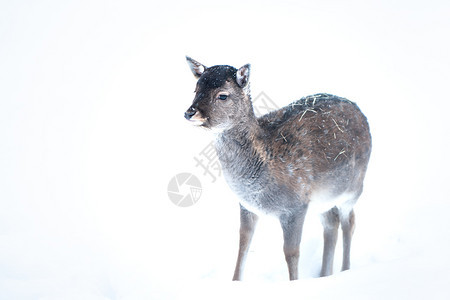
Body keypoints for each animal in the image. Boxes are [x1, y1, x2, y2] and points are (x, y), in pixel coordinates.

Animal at [185, 56, 370, 282]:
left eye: (222, 95)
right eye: (196, 89)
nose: (190, 112)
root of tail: (360, 111)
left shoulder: (295, 206)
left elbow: (291, 252)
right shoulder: (246, 205)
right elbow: (243, 244)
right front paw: (235, 281)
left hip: (354, 187)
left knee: (349, 222)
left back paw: (345, 270)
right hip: (324, 198)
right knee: (331, 222)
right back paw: (324, 274)